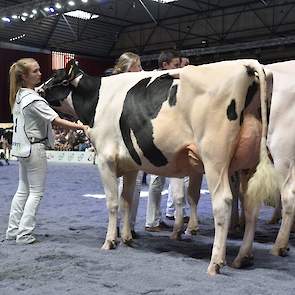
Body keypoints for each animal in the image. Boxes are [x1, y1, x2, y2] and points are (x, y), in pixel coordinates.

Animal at [42, 59, 276, 276]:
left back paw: (216, 262)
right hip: (249, 165)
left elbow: (113, 203)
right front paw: (126, 237)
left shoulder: (106, 159)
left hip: (214, 158)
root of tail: (246, 64)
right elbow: (127, 201)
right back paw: (243, 257)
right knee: (251, 204)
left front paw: (110, 241)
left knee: (223, 202)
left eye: (55, 77)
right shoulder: (130, 165)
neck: (97, 100)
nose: (38, 88)